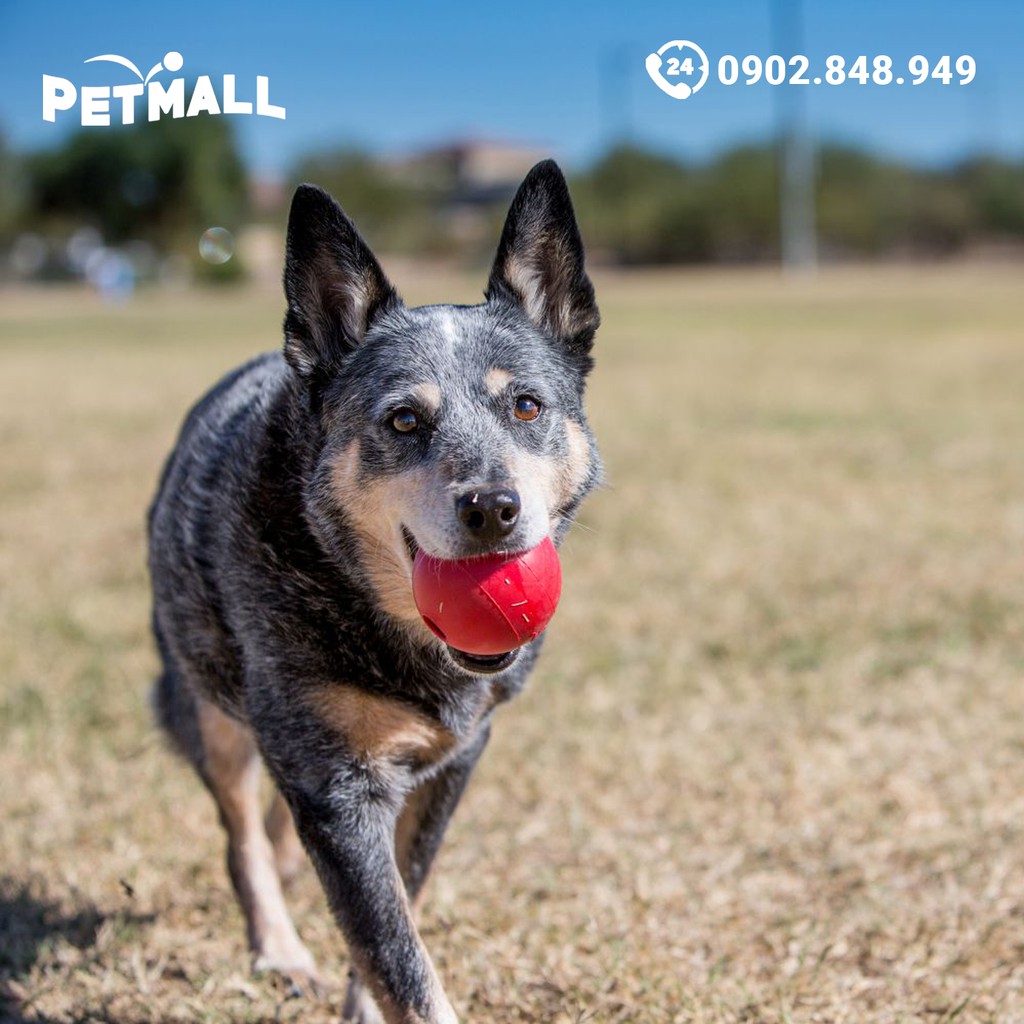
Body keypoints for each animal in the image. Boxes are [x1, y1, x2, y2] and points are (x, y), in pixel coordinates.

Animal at [149, 157, 602, 1024]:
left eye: (527, 405)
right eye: (402, 421)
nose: (493, 507)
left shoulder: (455, 759)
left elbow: (403, 900)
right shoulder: (335, 790)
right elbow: (396, 952)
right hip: (204, 699)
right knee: (240, 832)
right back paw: (280, 948)